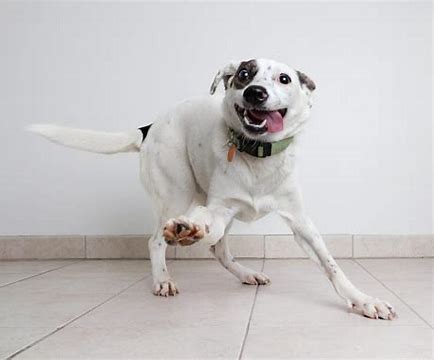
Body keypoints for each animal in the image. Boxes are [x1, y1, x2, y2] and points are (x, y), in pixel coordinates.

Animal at [29, 59, 396, 320]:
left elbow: (332, 266)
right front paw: (189, 229)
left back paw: (244, 272)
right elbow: (205, 224)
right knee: (158, 240)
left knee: (218, 248)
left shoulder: (301, 221)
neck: (257, 155)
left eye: (284, 79)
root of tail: (150, 126)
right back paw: (164, 275)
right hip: (175, 191)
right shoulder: (220, 208)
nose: (254, 92)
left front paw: (364, 300)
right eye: (245, 74)